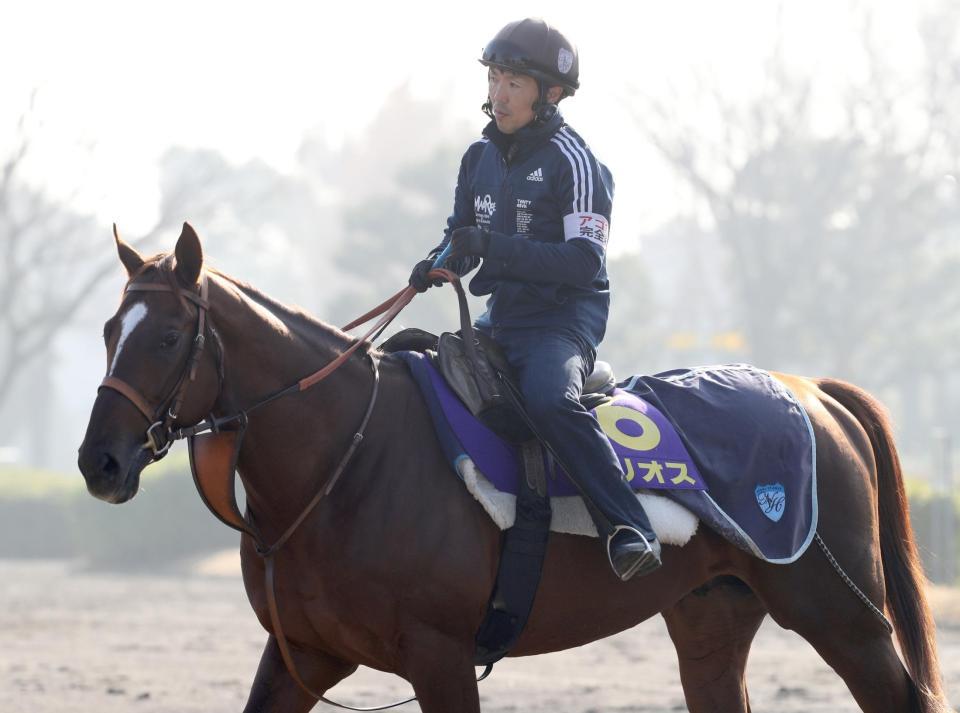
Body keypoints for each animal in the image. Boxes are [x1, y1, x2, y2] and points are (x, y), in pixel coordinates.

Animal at [79, 225, 948, 712]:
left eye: (166, 337)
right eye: (108, 330)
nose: (99, 460)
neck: (346, 461)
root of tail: (815, 393)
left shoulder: (439, 656)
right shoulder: (304, 652)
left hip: (839, 610)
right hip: (712, 614)